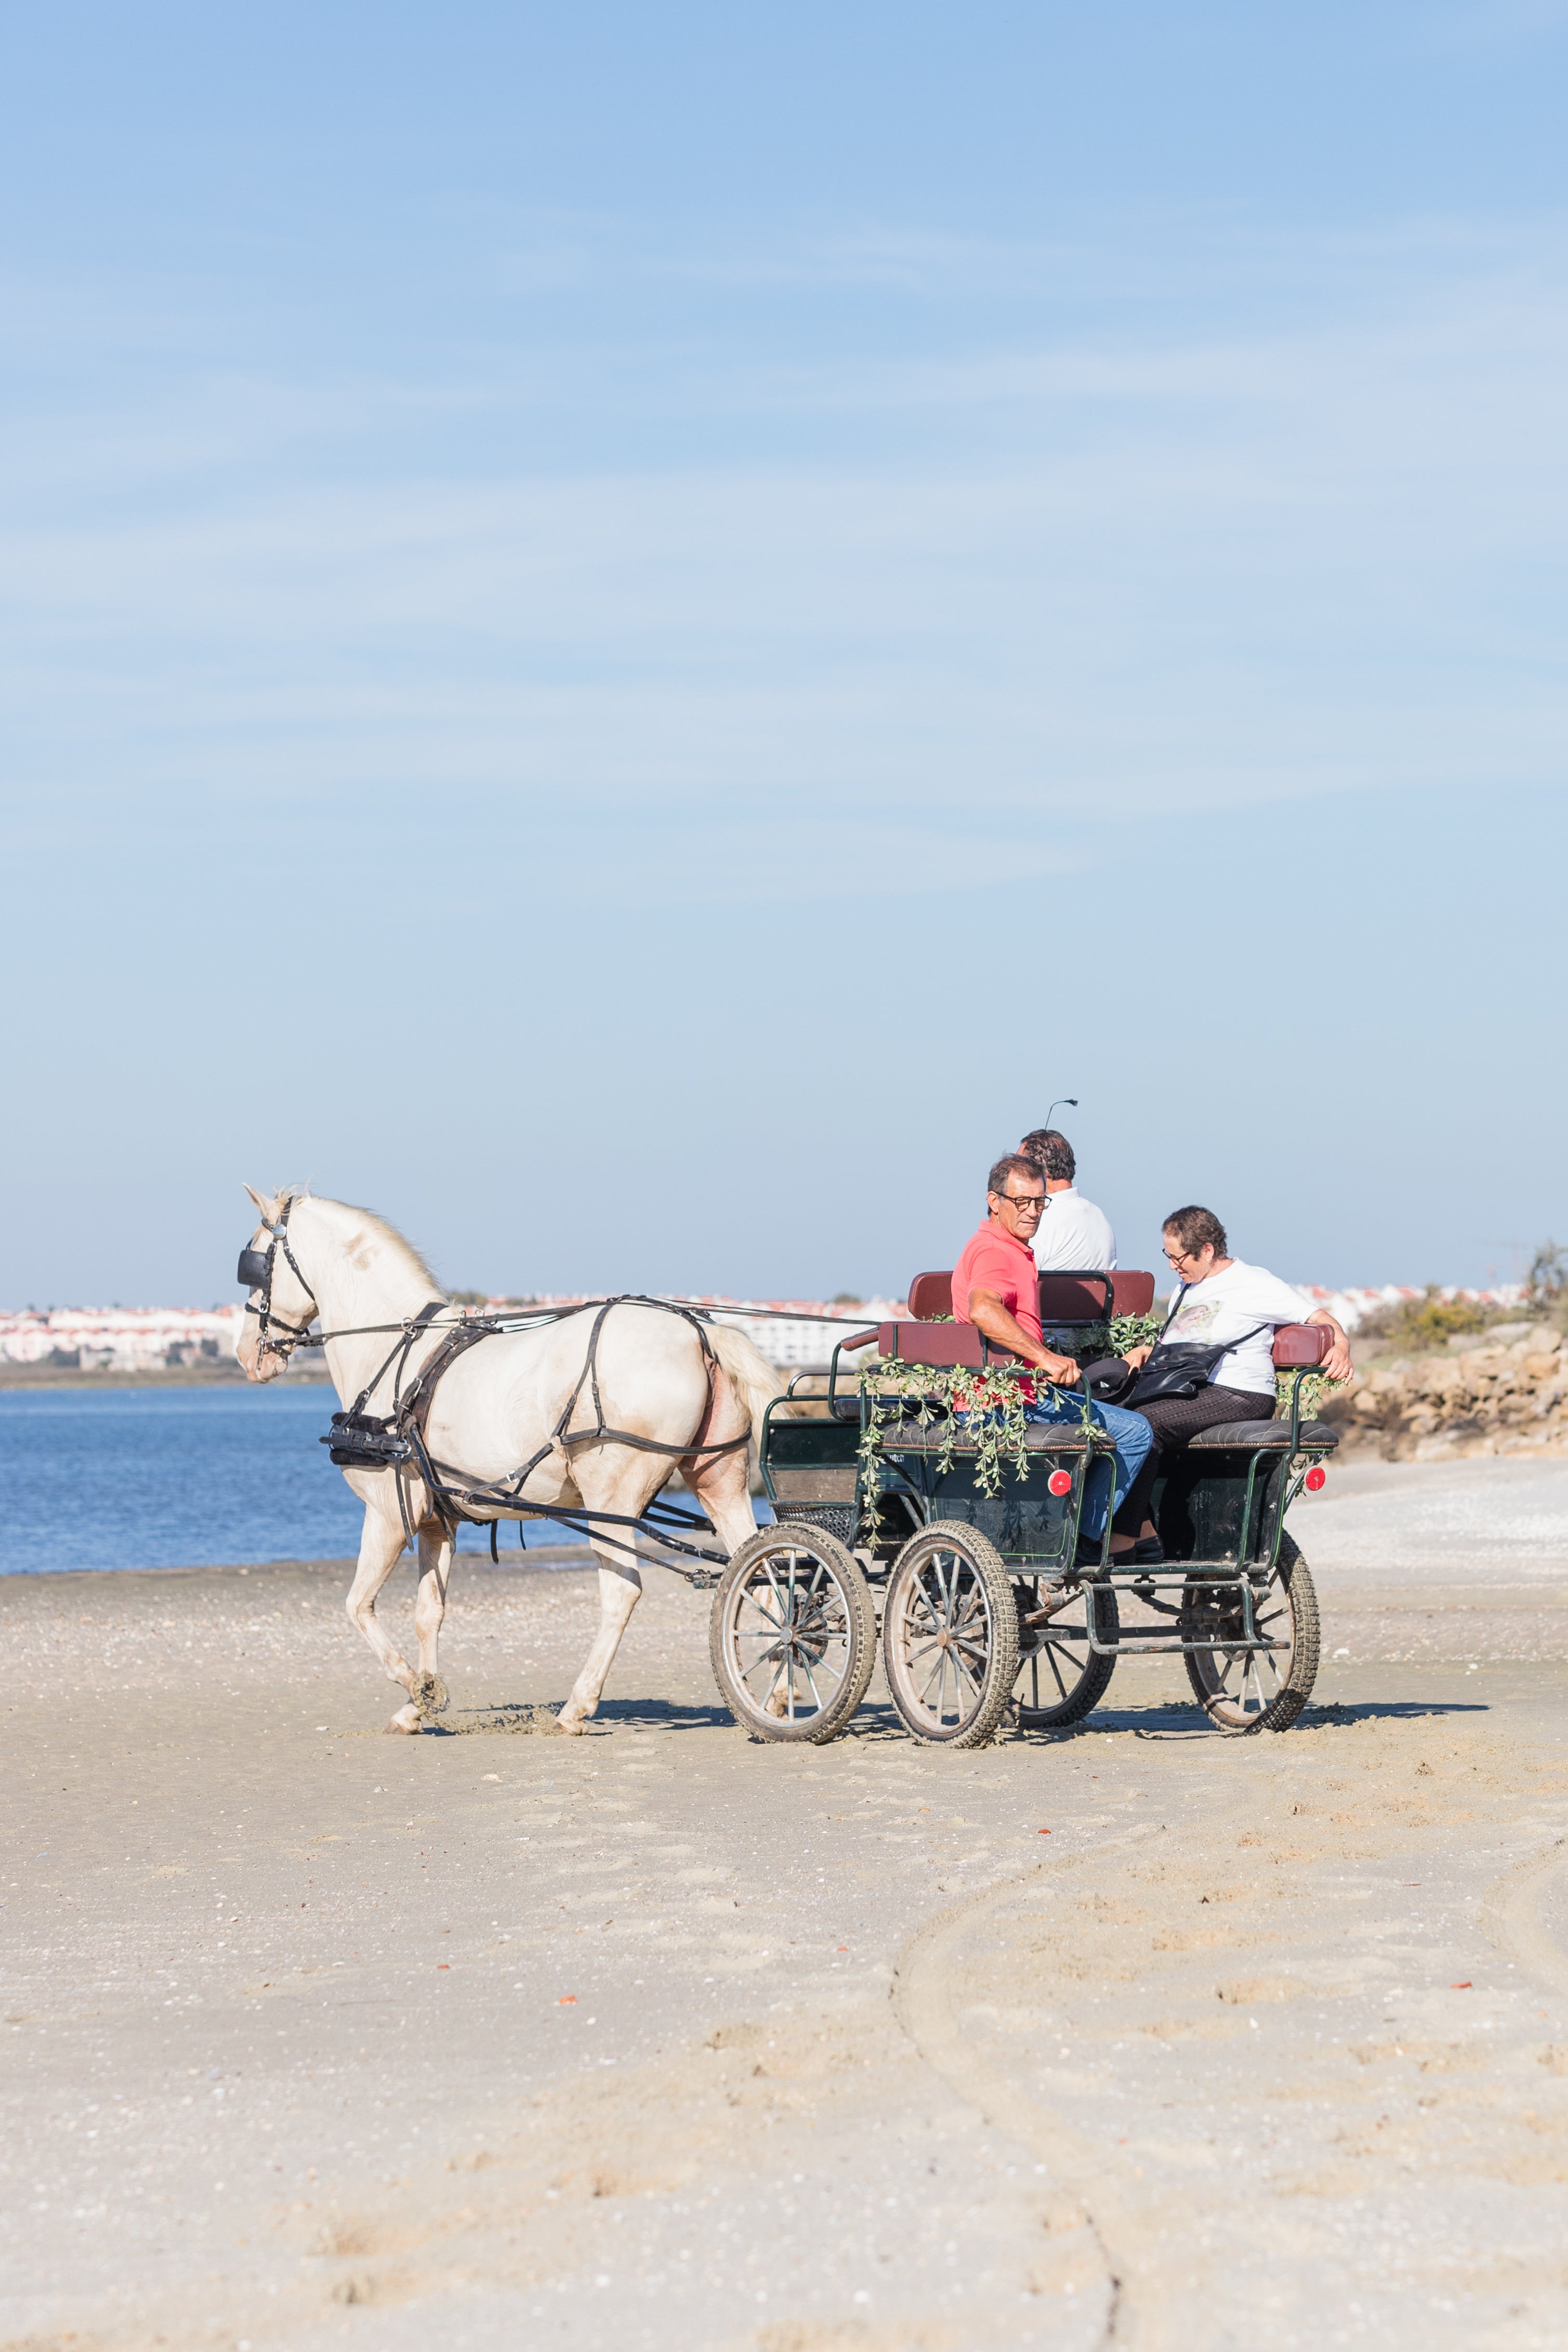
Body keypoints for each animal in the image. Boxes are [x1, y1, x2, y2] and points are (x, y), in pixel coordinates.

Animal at [235, 1194, 785, 1731]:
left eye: (255, 1263)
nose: (245, 1356)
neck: (396, 1350)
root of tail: (699, 1332)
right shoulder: (437, 1521)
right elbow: (428, 1611)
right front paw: (421, 1702)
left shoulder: (389, 1514)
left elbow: (358, 1605)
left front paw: (415, 1685)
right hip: (718, 1481)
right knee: (762, 1573)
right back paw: (780, 1689)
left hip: (612, 1500)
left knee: (622, 1592)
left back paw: (577, 1707)